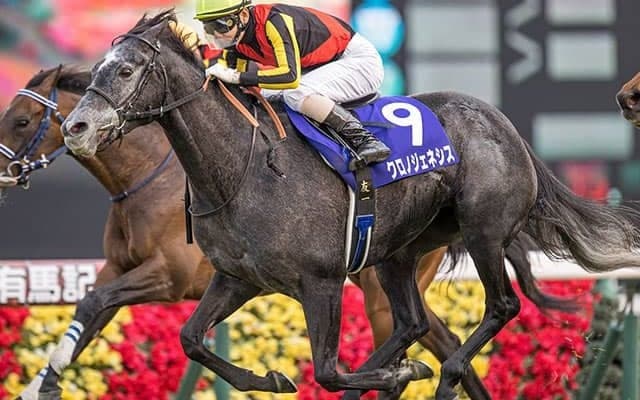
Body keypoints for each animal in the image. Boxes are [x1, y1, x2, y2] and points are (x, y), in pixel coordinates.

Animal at [0, 64, 564, 400]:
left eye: (22, 120)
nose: (2, 170)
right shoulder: (123, 267)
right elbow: (91, 311)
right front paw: (42, 384)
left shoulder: (169, 277)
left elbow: (99, 306)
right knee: (431, 336)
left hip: (380, 285)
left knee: (434, 334)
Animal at [60, 10, 640, 400]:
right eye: (97, 68)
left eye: (126, 70)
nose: (76, 127)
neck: (239, 173)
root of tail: (503, 124)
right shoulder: (236, 278)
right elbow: (190, 340)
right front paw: (273, 377)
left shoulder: (320, 280)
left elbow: (327, 368)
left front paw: (397, 373)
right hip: (398, 252)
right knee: (411, 324)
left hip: (483, 231)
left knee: (500, 306)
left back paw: (440, 374)